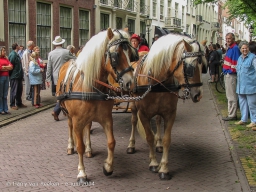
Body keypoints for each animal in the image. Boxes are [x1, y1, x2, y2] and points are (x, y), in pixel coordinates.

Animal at [126, 33, 208, 180]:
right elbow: (149, 137)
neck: (157, 80)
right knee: (134, 121)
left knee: (158, 121)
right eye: (190, 67)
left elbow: (166, 140)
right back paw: (131, 145)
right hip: (134, 105)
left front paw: (164, 168)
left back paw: (158, 144)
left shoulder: (170, 113)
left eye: (203, 65)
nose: (198, 95)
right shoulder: (143, 114)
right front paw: (153, 163)